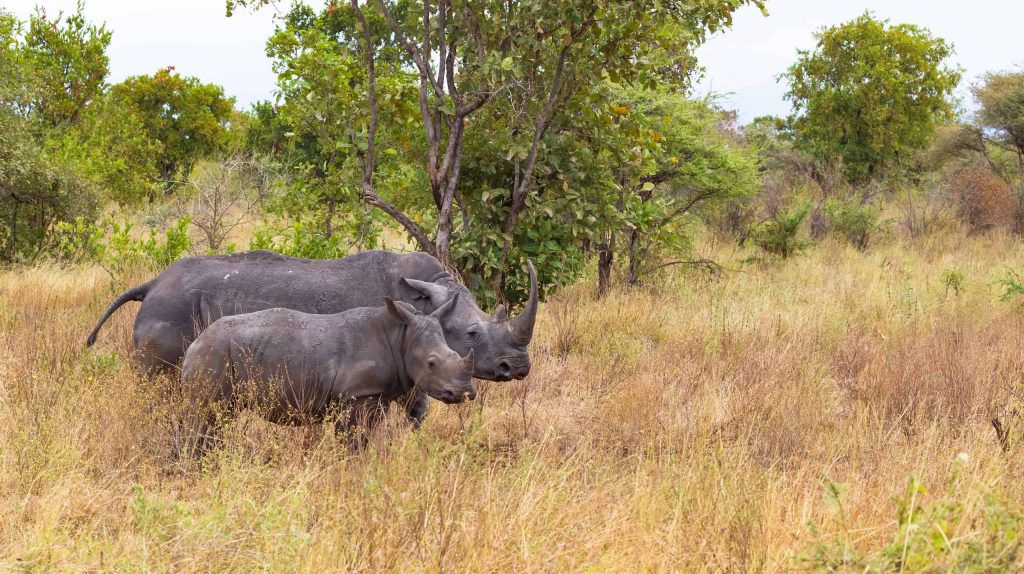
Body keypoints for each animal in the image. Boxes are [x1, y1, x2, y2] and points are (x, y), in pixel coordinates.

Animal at [180, 294, 475, 448]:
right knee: (207, 414)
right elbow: (353, 440)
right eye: (431, 363)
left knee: (221, 417)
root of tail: (195, 343)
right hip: (213, 354)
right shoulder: (356, 395)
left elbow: (365, 438)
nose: (465, 392)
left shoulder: (377, 394)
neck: (399, 336)